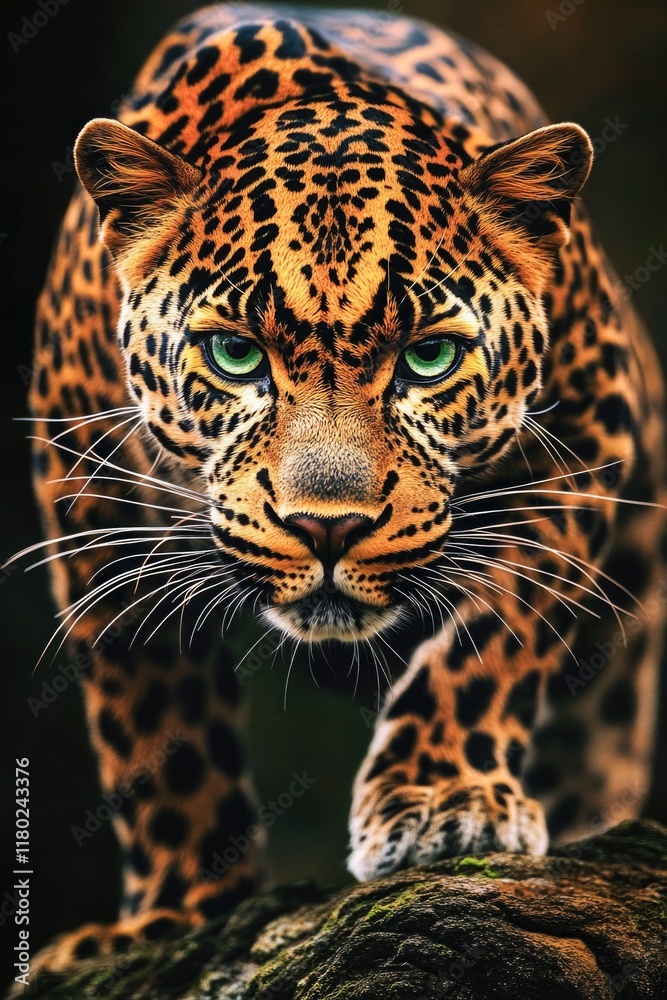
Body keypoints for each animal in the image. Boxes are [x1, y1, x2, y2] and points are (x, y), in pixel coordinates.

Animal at [20, 2, 666, 976]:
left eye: (428, 357)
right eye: (235, 353)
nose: (328, 529)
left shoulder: (588, 443)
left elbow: (493, 631)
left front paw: (442, 800)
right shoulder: (89, 504)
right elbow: (156, 728)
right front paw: (175, 916)